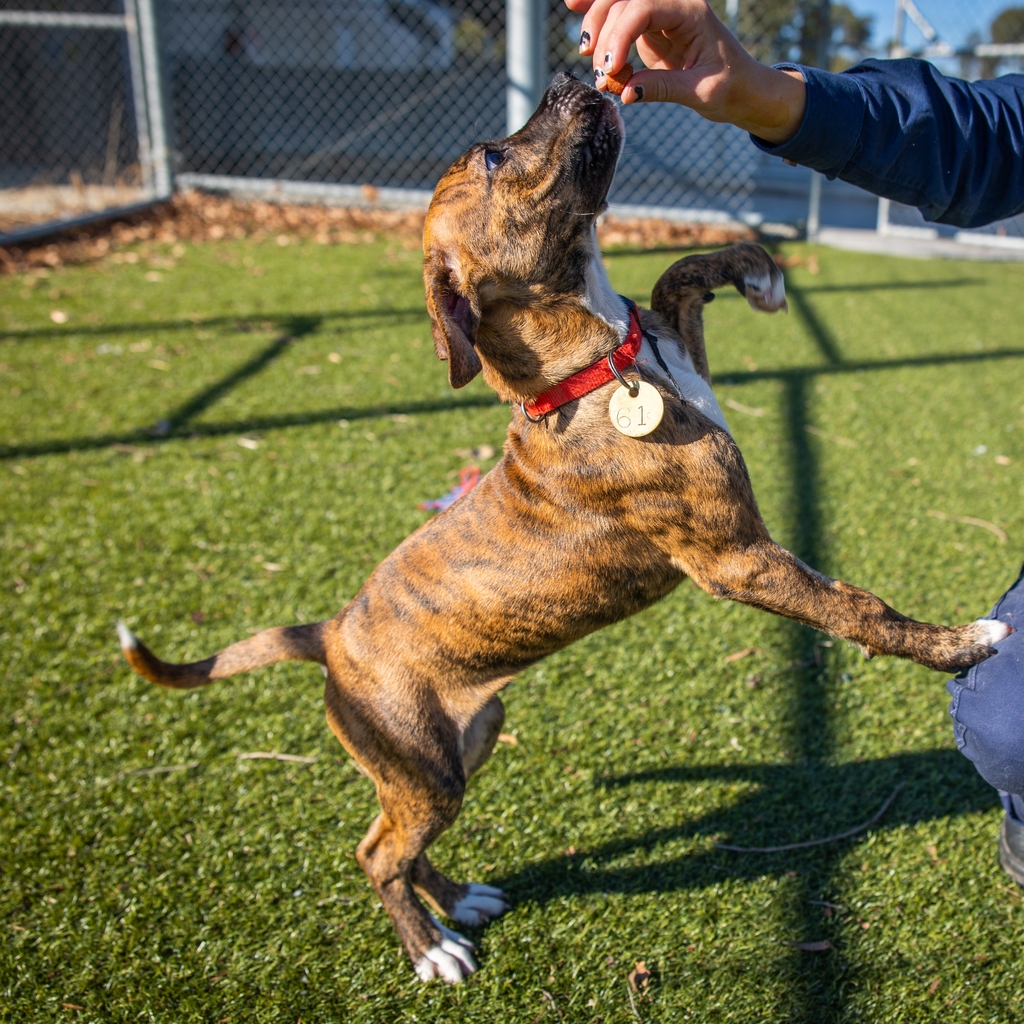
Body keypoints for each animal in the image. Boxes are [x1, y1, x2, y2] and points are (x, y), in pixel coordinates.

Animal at [118, 73, 1011, 983]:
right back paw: (432, 948)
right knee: (377, 856)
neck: (597, 365)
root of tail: (330, 634)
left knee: (393, 841)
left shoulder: (678, 352)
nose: (567, 76)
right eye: (492, 155)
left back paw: (459, 901)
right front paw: (962, 644)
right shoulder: (738, 559)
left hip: (461, 744)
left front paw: (756, 270)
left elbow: (676, 277)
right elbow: (860, 608)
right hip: (422, 764)